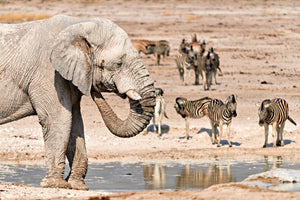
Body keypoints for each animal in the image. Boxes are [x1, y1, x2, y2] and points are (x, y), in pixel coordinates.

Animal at [0, 14, 156, 190]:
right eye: (118, 64)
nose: (94, 90)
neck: (78, 24)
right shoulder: (48, 73)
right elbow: (59, 120)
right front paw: (55, 185)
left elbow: (75, 123)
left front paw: (77, 186)